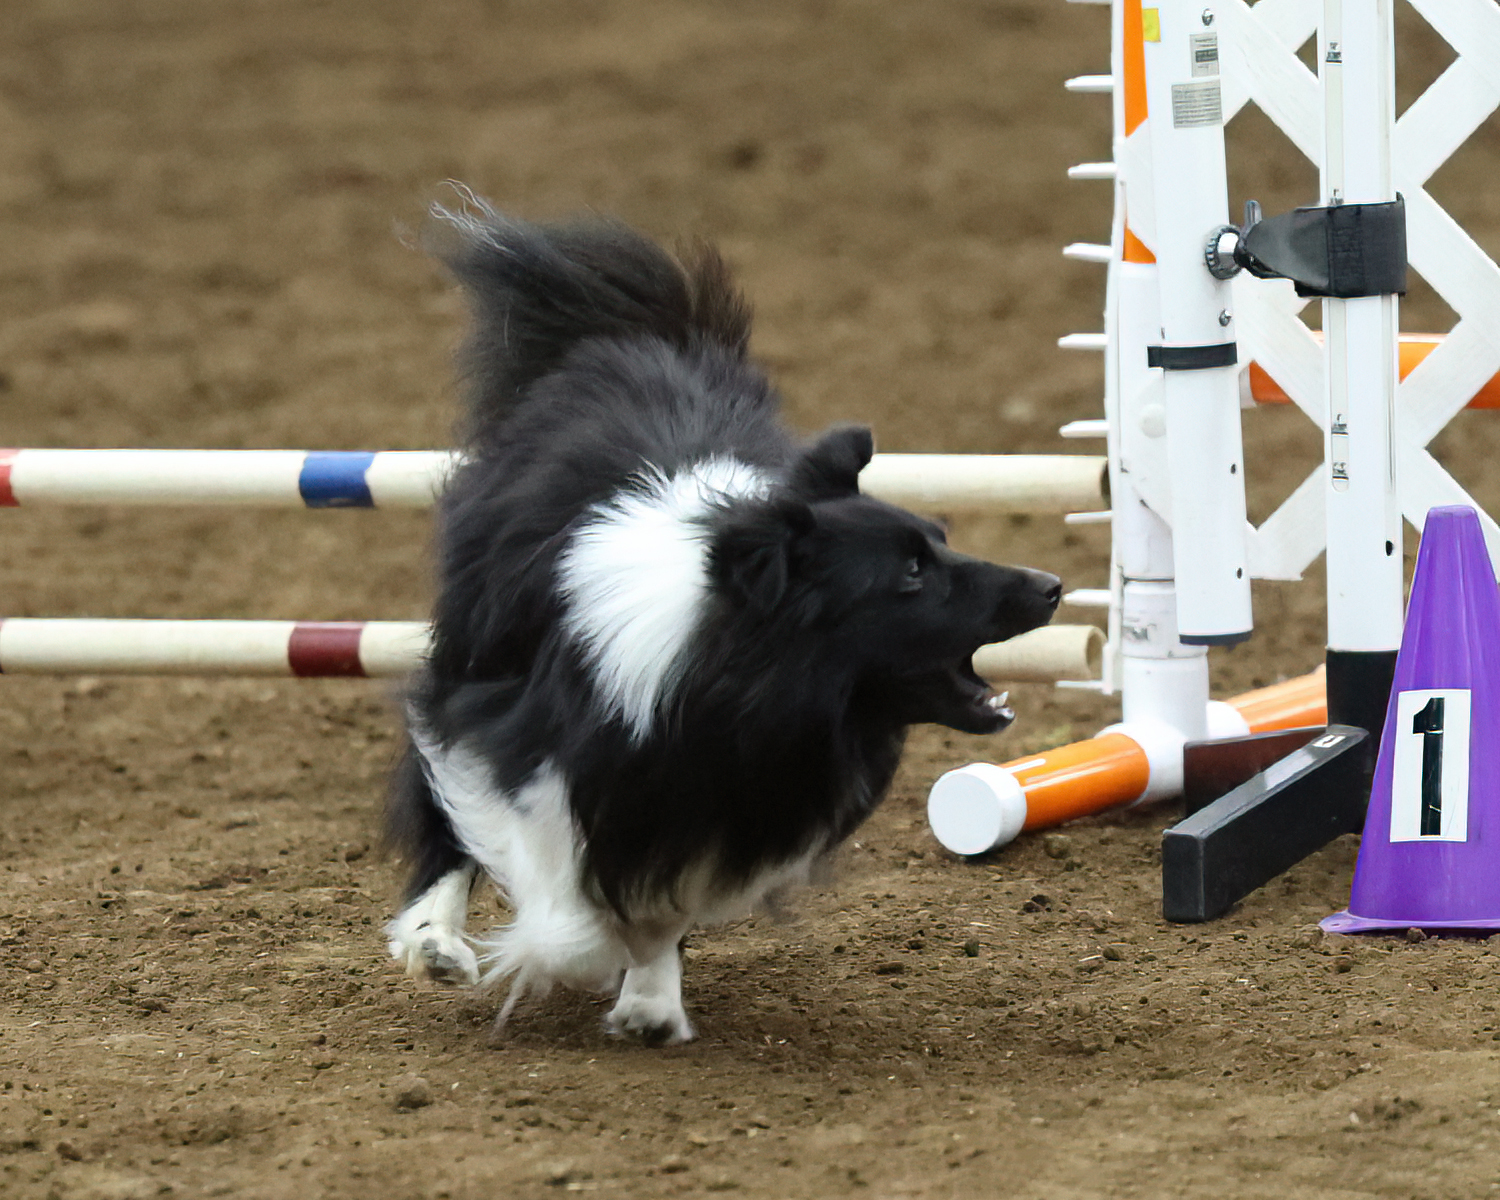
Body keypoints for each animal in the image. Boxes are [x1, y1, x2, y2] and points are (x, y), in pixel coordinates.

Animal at [387, 201, 1068, 1044]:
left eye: (939, 540)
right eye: (910, 573)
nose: (1052, 586)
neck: (725, 673)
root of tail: (641, 333)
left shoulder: (732, 796)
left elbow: (662, 899)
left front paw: (649, 998)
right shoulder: (515, 733)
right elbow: (549, 877)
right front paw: (568, 950)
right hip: (468, 653)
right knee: (441, 801)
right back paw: (436, 942)